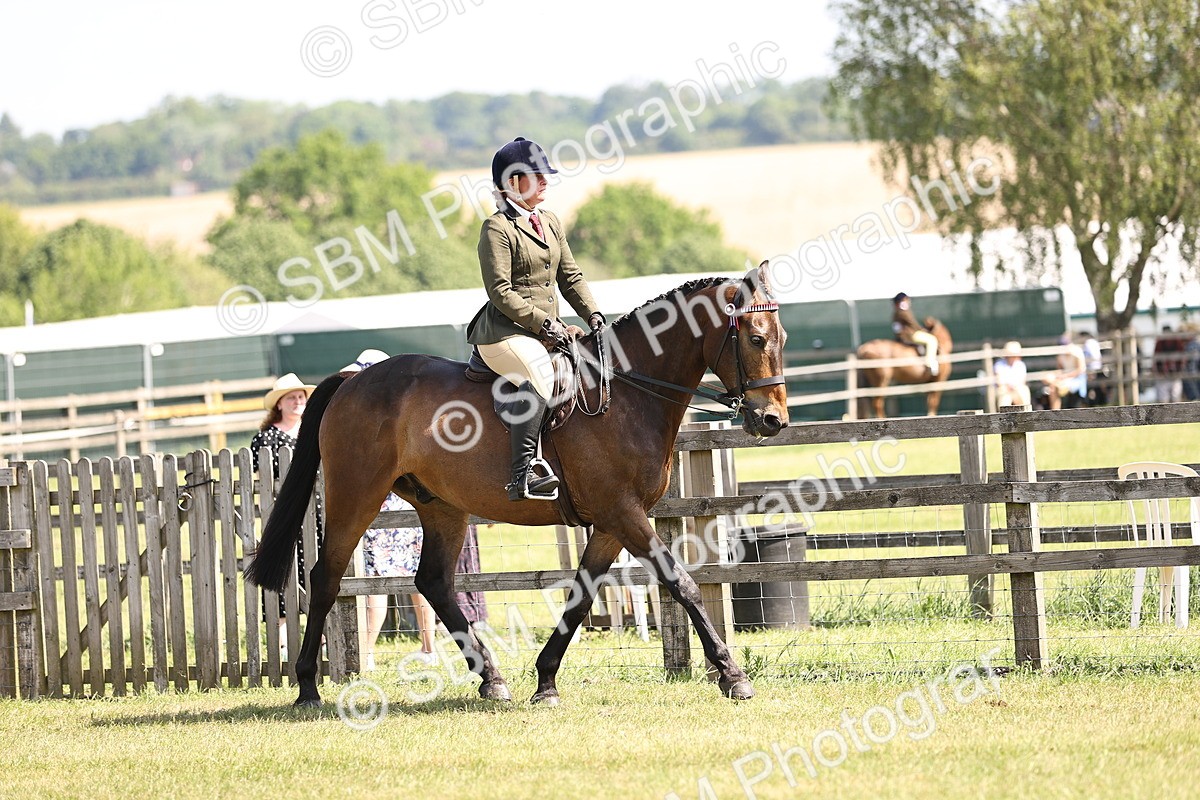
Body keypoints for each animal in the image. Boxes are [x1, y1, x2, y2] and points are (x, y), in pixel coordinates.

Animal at [246, 263, 790, 708]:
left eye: (782, 337)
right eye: (756, 339)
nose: (773, 421)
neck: (628, 393)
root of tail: (352, 380)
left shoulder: (612, 522)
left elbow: (582, 596)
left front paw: (545, 682)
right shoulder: (623, 513)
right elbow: (683, 584)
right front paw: (733, 676)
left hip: (441, 506)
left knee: (433, 582)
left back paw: (493, 681)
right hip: (356, 495)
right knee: (325, 577)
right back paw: (308, 688)